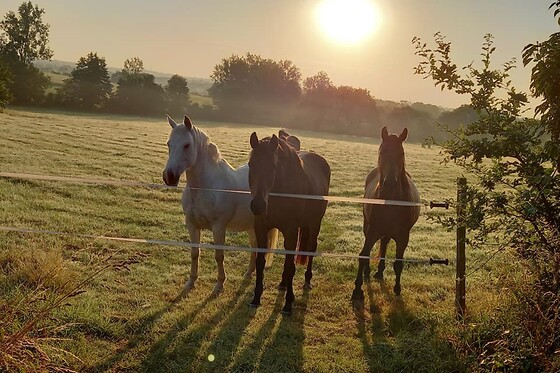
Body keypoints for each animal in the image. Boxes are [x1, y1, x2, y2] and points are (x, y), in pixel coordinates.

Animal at [162, 115, 278, 294]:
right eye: (169, 144)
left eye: (187, 145)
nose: (169, 176)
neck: (205, 187)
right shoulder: (192, 224)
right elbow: (194, 252)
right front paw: (191, 282)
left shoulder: (218, 227)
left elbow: (219, 255)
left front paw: (219, 285)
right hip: (251, 225)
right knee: (254, 246)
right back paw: (249, 272)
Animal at [247, 132, 330, 312]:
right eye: (250, 164)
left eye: (273, 166)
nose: (257, 205)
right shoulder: (261, 229)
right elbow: (261, 262)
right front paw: (256, 297)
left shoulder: (291, 231)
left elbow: (290, 266)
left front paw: (288, 304)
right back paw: (283, 283)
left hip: (314, 223)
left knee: (311, 248)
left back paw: (307, 280)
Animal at [350, 126, 420, 300]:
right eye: (382, 152)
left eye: (401, 153)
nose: (389, 183)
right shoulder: (372, 230)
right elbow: (363, 255)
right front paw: (357, 289)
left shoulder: (403, 236)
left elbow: (398, 262)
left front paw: (397, 288)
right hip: (368, 226)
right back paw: (370, 271)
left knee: (384, 244)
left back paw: (380, 272)